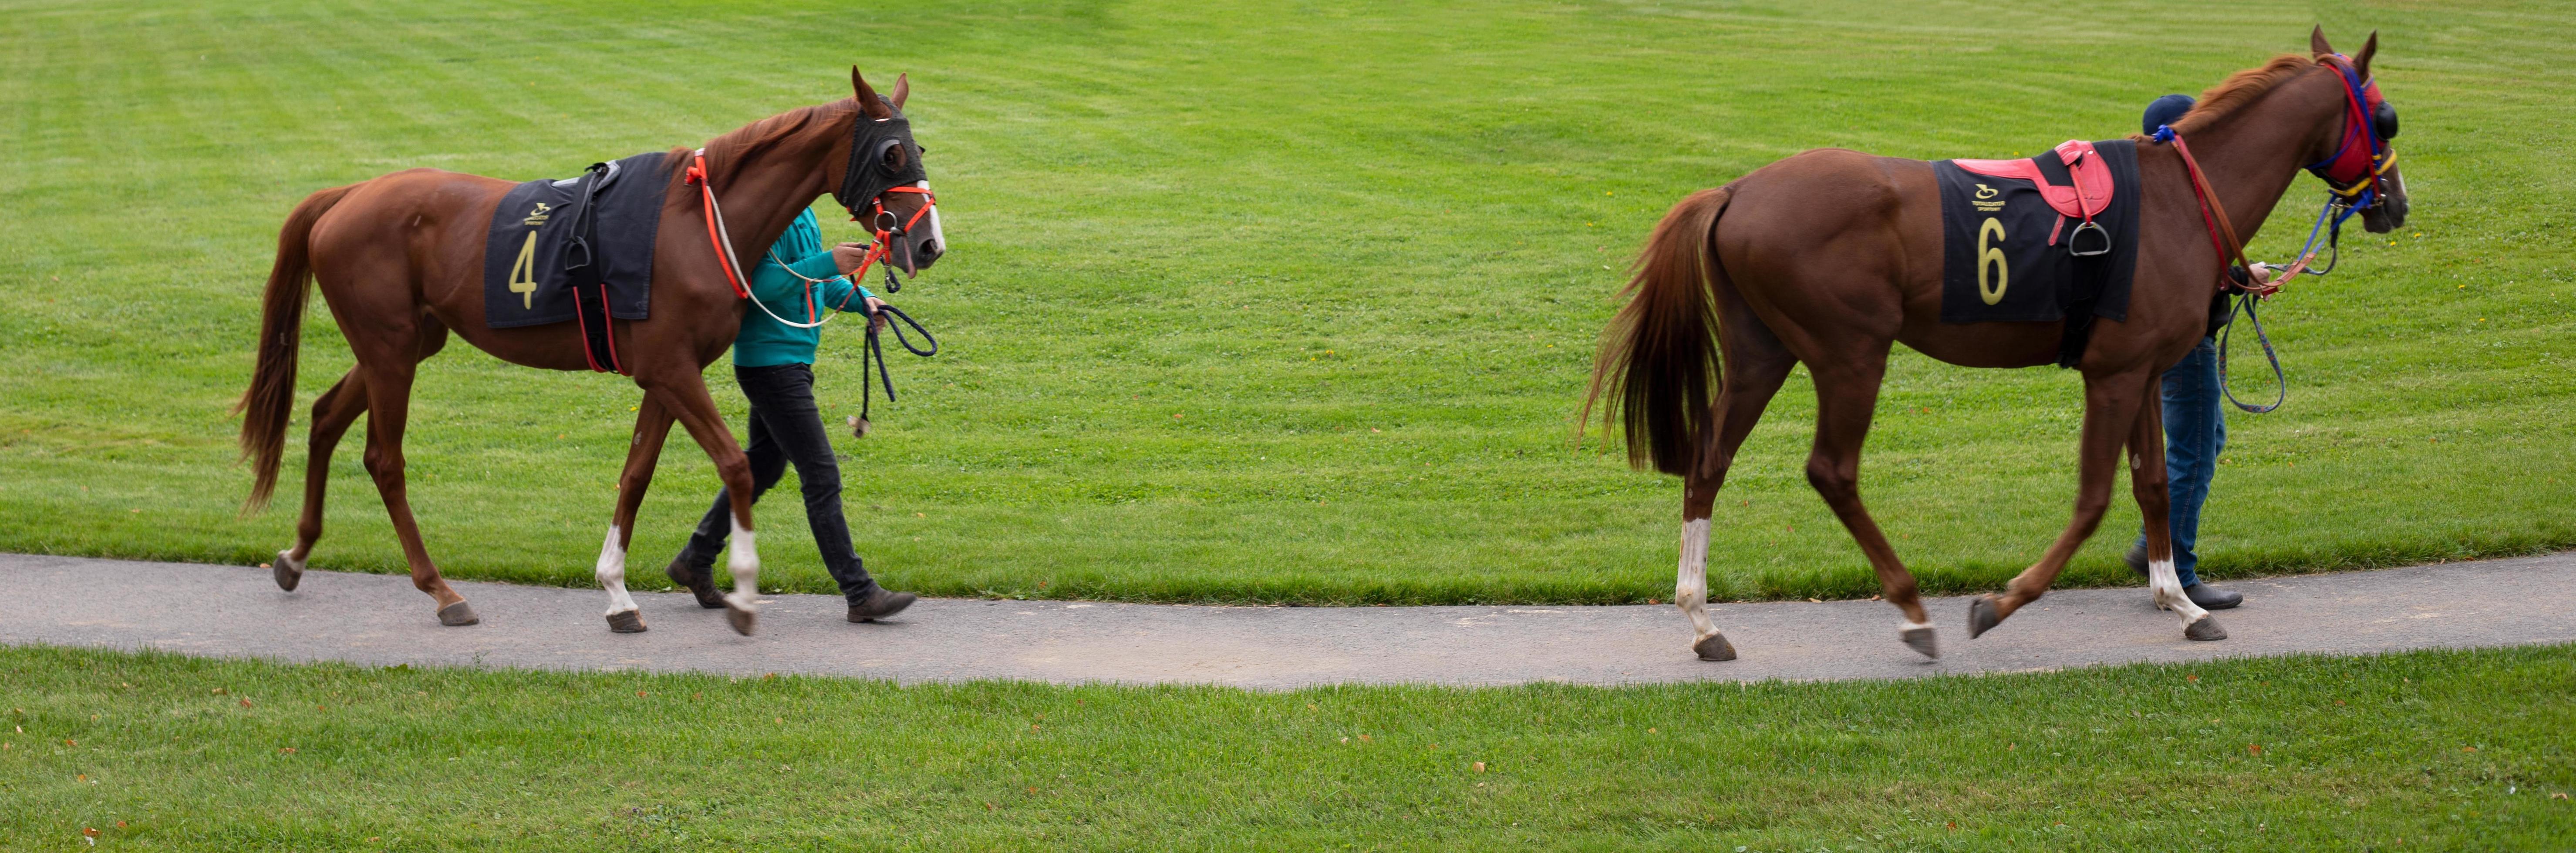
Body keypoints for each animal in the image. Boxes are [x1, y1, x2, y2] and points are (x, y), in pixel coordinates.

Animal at [235, 69, 946, 636]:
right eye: (890, 153)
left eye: (917, 148)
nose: (929, 244)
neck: (695, 223)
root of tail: (346, 197)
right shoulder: (671, 369)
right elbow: (735, 468)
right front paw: (743, 595)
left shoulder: (664, 375)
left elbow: (636, 475)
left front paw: (617, 592)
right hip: (390, 350)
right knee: (384, 460)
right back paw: (441, 591)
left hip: (407, 343)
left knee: (325, 416)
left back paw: (296, 556)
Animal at [1586, 29, 2409, 661]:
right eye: (2388, 118)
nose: (2396, 204)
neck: (2181, 200)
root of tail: (1737, 190)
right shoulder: (2112, 375)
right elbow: (2094, 498)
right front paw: (2002, 602)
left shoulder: (2142, 372)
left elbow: (2153, 485)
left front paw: (2181, 602)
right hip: (1851, 353)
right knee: (1832, 471)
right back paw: (1912, 611)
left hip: (1764, 352)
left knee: (1709, 461)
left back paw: (1703, 621)